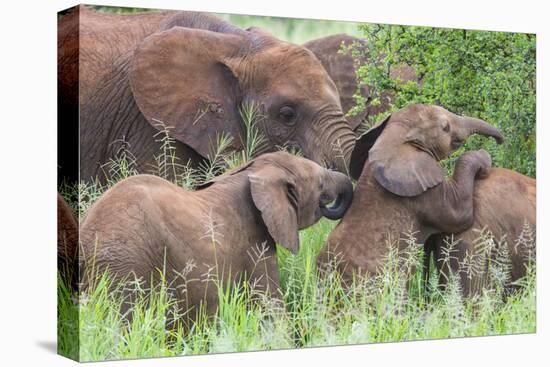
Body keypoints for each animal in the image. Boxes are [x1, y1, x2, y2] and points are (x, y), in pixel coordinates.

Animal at [316, 105, 506, 284]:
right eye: (445, 127)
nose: (500, 140)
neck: (394, 138)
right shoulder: (424, 193)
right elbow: (460, 216)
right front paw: (483, 157)